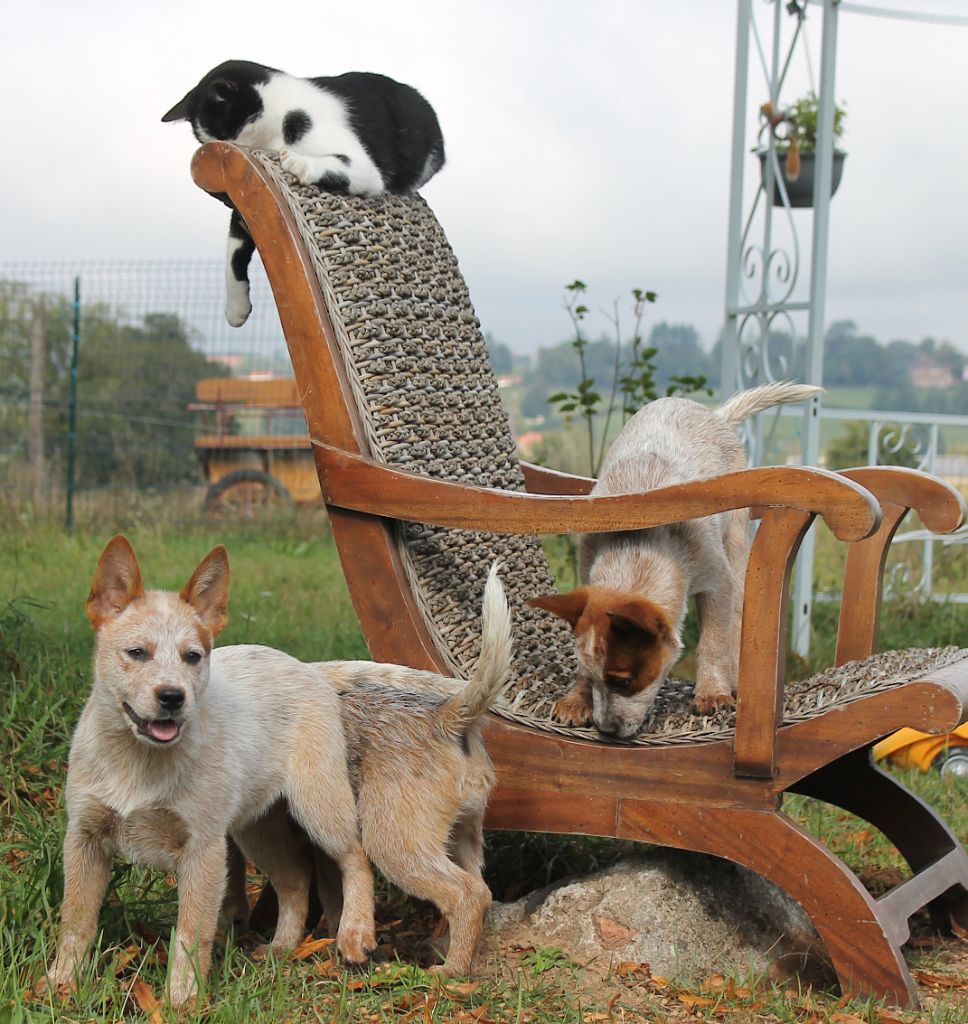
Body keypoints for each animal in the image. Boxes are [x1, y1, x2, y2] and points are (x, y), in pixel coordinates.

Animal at [162, 60, 446, 323]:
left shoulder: (364, 167)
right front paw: (236, 307)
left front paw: (300, 163)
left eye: (226, 134)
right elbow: (234, 252)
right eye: (207, 142)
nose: (224, 156)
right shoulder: (245, 208)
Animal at [532, 382, 819, 737]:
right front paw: (577, 699)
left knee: (738, 618)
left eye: (623, 681)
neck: (638, 547)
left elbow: (712, 641)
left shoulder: (717, 583)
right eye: (595, 676)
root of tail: (714, 414)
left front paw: (712, 693)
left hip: (736, 546)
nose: (606, 731)